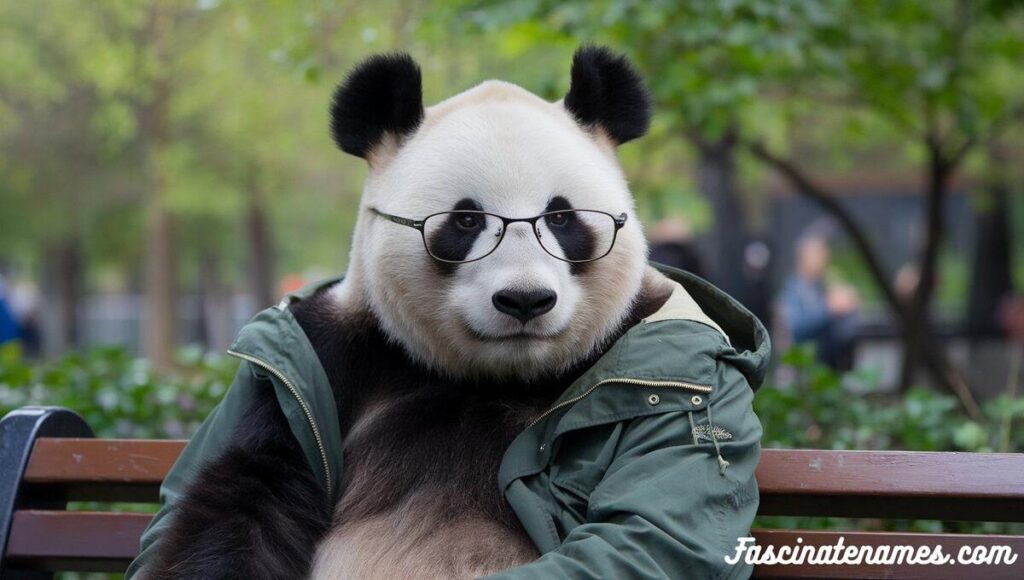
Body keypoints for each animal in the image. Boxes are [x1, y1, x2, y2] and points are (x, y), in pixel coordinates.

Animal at [140, 44, 765, 580]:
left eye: (561, 218)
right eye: (465, 222)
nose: (524, 300)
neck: (502, 374)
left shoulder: (670, 357)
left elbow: (646, 529)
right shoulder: (334, 355)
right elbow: (246, 493)